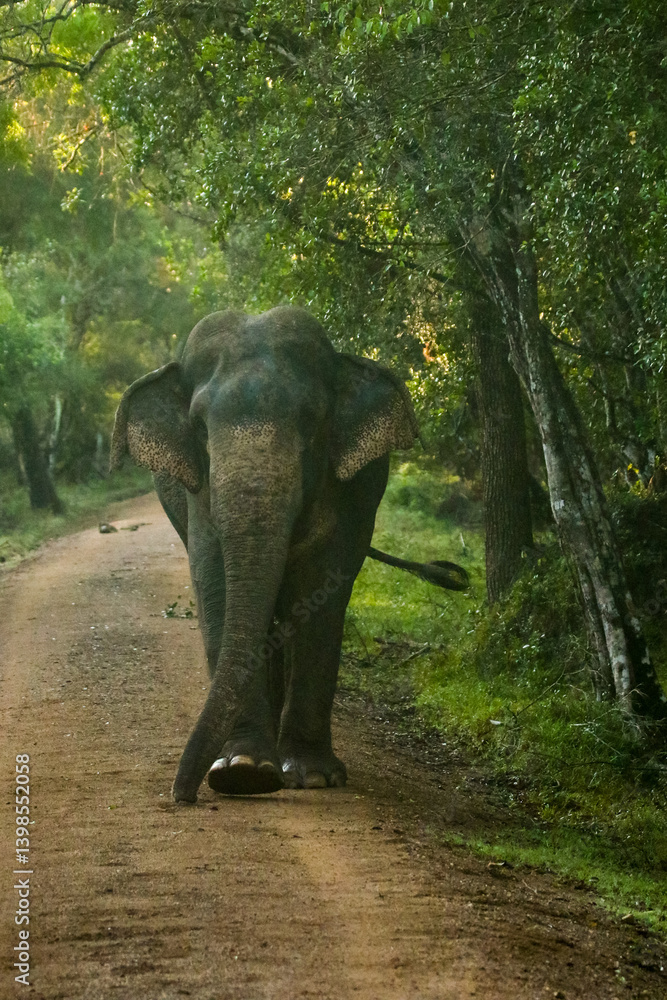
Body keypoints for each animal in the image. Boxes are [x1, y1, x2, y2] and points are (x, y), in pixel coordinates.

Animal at [110, 306, 467, 802]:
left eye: (313, 419)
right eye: (199, 427)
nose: (181, 795)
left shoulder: (350, 492)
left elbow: (322, 588)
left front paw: (311, 776)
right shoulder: (198, 494)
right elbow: (216, 582)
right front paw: (242, 770)